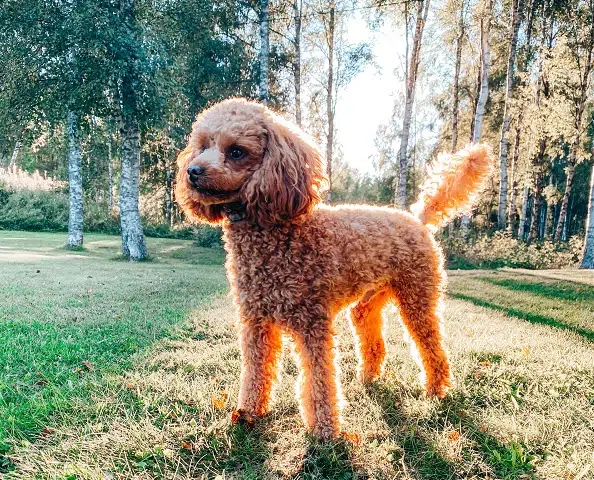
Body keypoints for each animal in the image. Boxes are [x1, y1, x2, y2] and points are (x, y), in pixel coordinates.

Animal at [173, 97, 488, 438]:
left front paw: (325, 431)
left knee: (431, 346)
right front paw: (248, 413)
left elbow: (319, 380)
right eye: (203, 146)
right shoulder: (255, 321)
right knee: (373, 339)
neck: (276, 234)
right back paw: (369, 377)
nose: (193, 171)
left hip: (417, 297)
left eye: (236, 151)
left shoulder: (312, 324)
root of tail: (416, 219)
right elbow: (256, 370)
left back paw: (436, 389)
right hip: (367, 304)